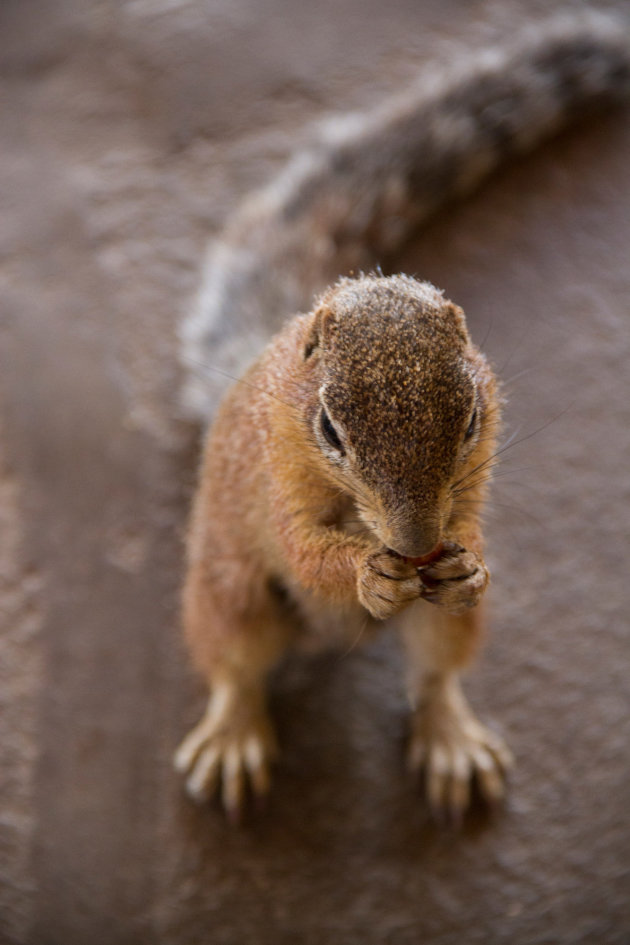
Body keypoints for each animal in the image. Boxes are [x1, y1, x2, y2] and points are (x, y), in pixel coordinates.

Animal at [175, 12, 630, 820]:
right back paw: (232, 733)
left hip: (437, 627)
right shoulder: (274, 471)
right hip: (229, 592)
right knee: (235, 666)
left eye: (473, 417)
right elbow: (302, 548)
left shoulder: (475, 477)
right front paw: (363, 569)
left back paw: (452, 738)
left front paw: (469, 564)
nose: (417, 546)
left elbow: (469, 532)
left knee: (435, 671)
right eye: (328, 429)